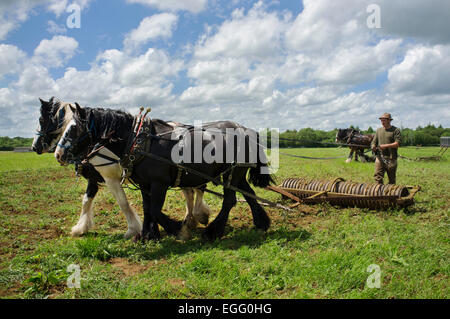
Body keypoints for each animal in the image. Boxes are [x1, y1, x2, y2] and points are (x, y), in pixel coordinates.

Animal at [31, 99, 211, 241]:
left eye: (42, 119)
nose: (35, 147)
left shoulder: (111, 178)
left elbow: (123, 202)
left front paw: (133, 229)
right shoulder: (95, 178)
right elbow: (86, 200)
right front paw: (80, 228)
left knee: (198, 189)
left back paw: (198, 216)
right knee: (190, 192)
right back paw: (190, 219)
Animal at [54, 105, 272, 242]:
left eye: (74, 128)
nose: (58, 154)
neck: (140, 141)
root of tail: (247, 129)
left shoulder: (159, 183)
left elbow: (155, 209)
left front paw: (177, 230)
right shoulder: (144, 184)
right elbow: (147, 207)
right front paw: (147, 235)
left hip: (232, 174)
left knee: (229, 200)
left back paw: (213, 231)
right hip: (237, 174)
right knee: (249, 194)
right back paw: (261, 223)